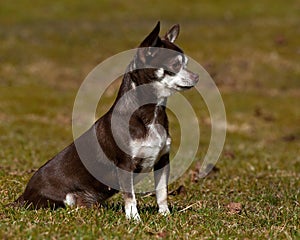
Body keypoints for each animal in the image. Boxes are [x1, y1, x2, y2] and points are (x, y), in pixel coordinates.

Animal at [12, 21, 198, 220]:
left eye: (186, 64)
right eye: (175, 65)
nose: (197, 76)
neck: (151, 112)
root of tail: (23, 196)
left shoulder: (162, 162)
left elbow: (162, 193)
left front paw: (165, 215)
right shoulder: (125, 166)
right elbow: (130, 196)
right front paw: (134, 219)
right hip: (63, 199)